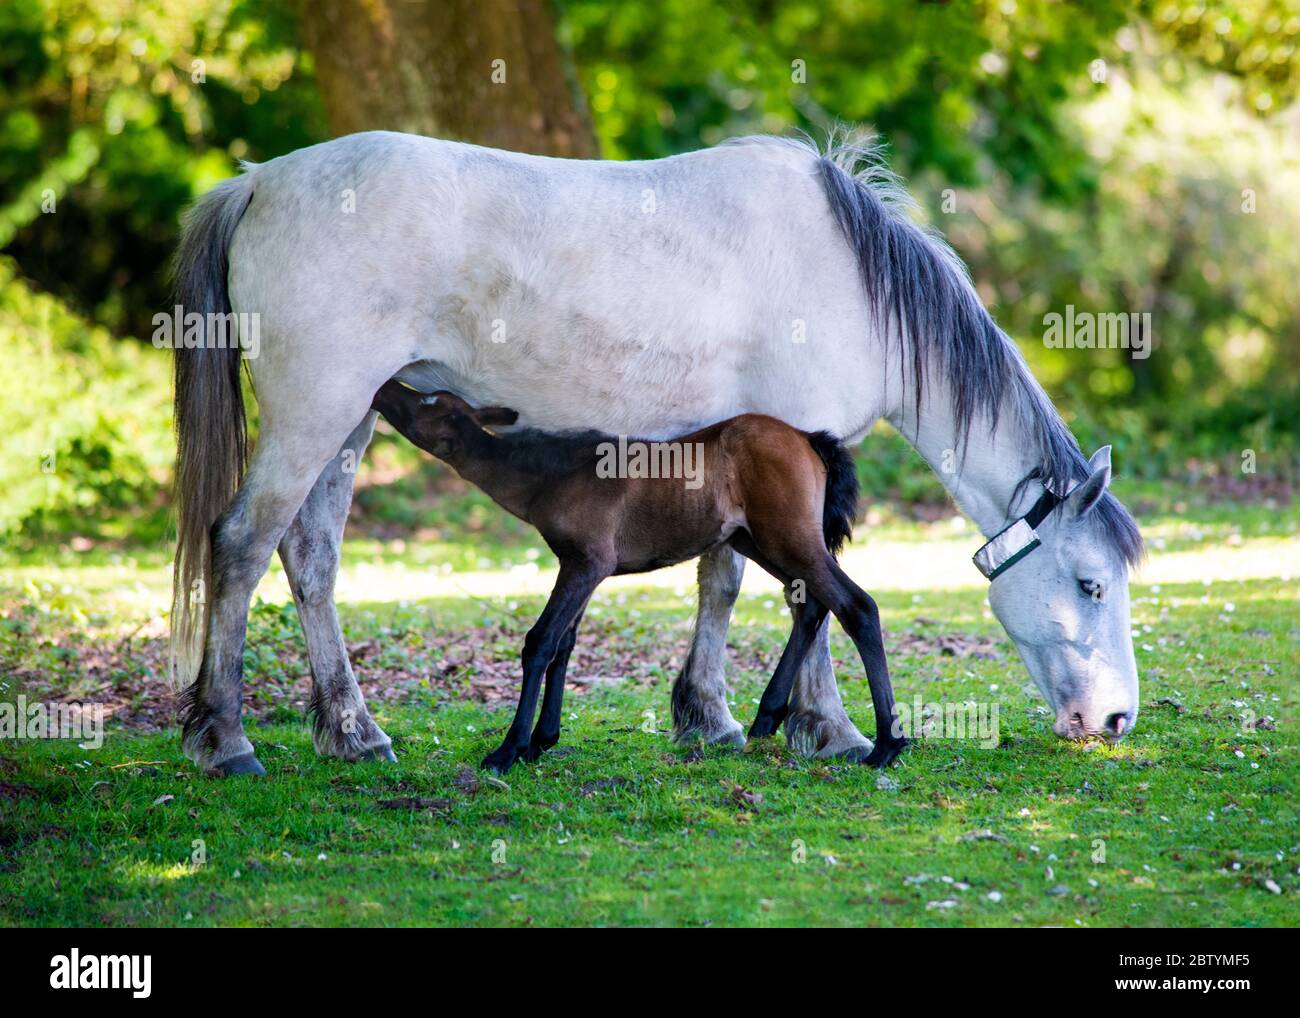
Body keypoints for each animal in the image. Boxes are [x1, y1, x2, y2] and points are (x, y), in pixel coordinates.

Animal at [369, 381, 902, 773]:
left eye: (426, 402)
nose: (384, 389)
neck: (549, 476)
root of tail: (811, 439)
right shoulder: (578, 566)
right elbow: (565, 643)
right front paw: (542, 740)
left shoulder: (587, 563)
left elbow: (540, 641)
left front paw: (509, 750)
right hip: (757, 541)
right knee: (810, 605)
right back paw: (768, 716)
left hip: (790, 538)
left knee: (857, 605)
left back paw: (886, 746)